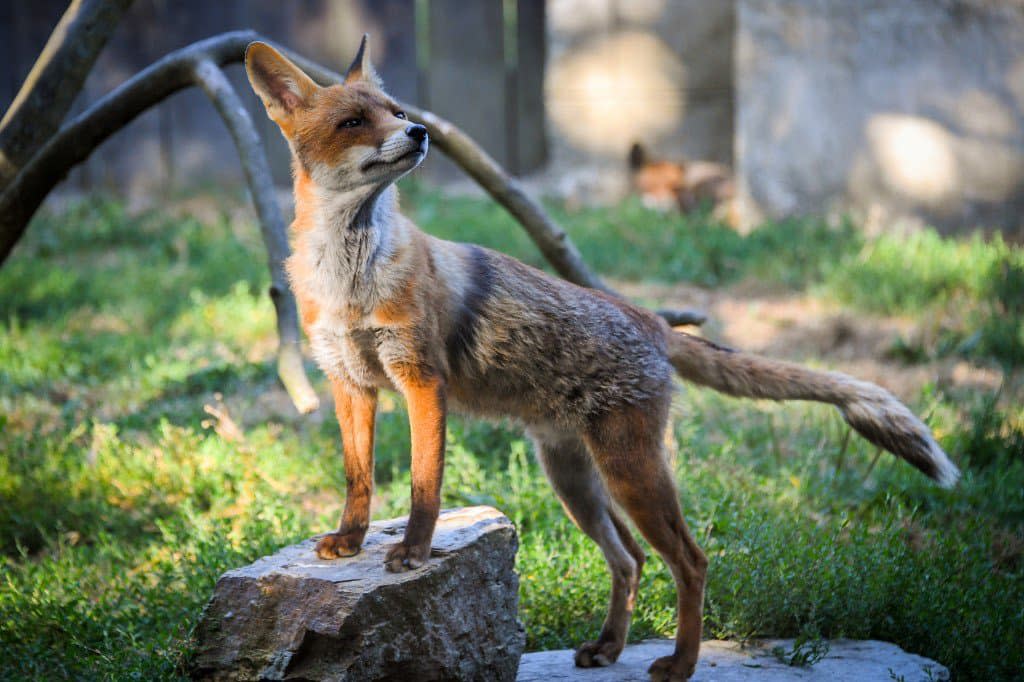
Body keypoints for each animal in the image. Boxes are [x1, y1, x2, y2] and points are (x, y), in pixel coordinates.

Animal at [243, 38, 954, 679]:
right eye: (353, 122)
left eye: (394, 110)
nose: (419, 132)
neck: (350, 278)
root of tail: (654, 321)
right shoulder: (349, 381)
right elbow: (358, 478)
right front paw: (351, 540)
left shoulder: (422, 380)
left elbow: (424, 483)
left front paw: (414, 552)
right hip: (576, 480)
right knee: (631, 560)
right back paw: (609, 648)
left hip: (629, 470)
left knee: (690, 560)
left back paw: (680, 664)